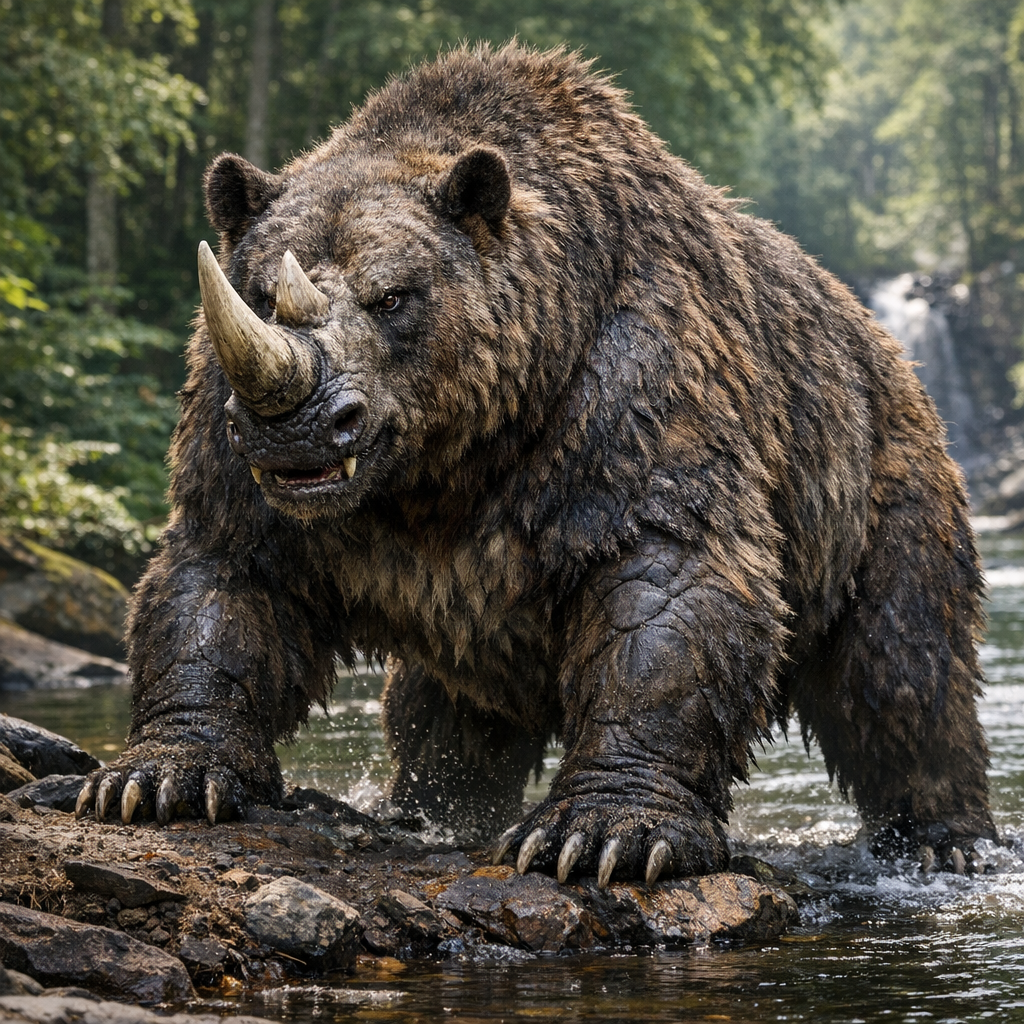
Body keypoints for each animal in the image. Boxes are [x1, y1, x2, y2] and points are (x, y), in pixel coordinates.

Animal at [76, 42, 997, 886]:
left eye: (392, 297)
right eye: (260, 293)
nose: (296, 424)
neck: (452, 460)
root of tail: (887, 345)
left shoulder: (628, 402)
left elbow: (669, 592)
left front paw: (603, 833)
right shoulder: (234, 452)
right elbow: (224, 580)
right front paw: (155, 777)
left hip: (872, 484)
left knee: (901, 669)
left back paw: (942, 837)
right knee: (442, 711)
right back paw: (427, 809)